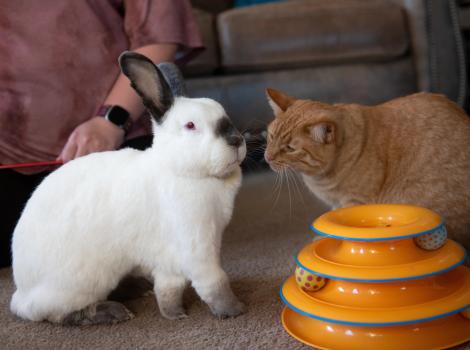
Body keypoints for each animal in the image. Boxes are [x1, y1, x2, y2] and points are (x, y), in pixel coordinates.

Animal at [9, 52, 248, 326]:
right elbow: (214, 281)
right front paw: (235, 309)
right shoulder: (198, 247)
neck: (180, 170)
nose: (237, 141)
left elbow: (169, 288)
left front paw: (173, 314)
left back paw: (137, 289)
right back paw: (113, 312)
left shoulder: (169, 260)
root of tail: (21, 293)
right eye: (190, 125)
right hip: (81, 284)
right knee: (60, 313)